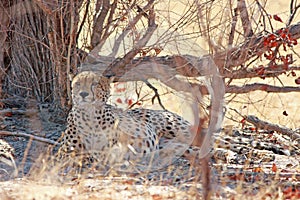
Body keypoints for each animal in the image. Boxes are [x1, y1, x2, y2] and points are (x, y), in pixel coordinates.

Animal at [56, 71, 195, 173]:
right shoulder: (64, 152)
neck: (89, 114)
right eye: (78, 83)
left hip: (177, 129)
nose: (83, 94)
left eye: (95, 84)